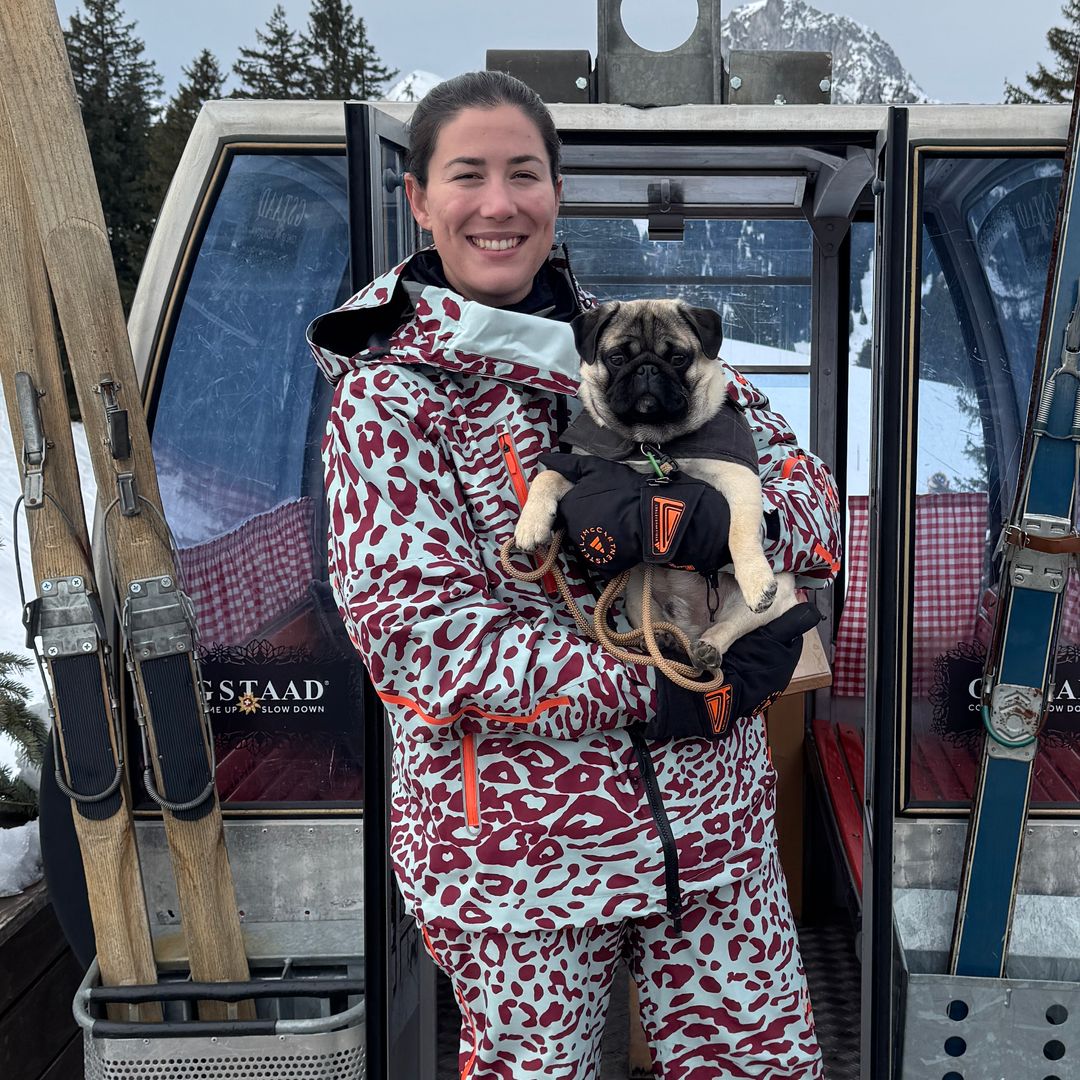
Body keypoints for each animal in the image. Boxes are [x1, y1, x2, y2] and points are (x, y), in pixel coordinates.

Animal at [514, 300, 794, 669]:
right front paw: (530, 524)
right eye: (617, 358)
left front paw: (755, 579)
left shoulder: (738, 479)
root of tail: (692, 627)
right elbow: (546, 477)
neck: (650, 442)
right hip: (635, 593)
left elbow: (740, 530)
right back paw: (660, 639)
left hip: (783, 591)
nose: (646, 369)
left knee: (730, 627)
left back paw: (708, 647)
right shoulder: (584, 467)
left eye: (678, 358)